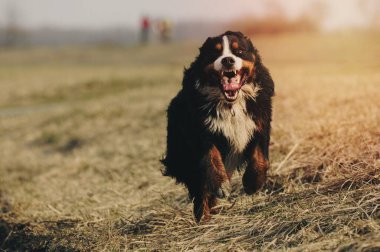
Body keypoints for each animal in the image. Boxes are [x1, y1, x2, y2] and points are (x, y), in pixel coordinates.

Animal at [162, 30, 274, 221]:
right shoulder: (200, 131)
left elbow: (261, 157)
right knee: (201, 190)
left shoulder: (260, 122)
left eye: (239, 51)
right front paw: (221, 185)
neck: (231, 104)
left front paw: (253, 182)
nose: (227, 60)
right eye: (215, 53)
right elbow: (211, 158)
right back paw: (204, 217)